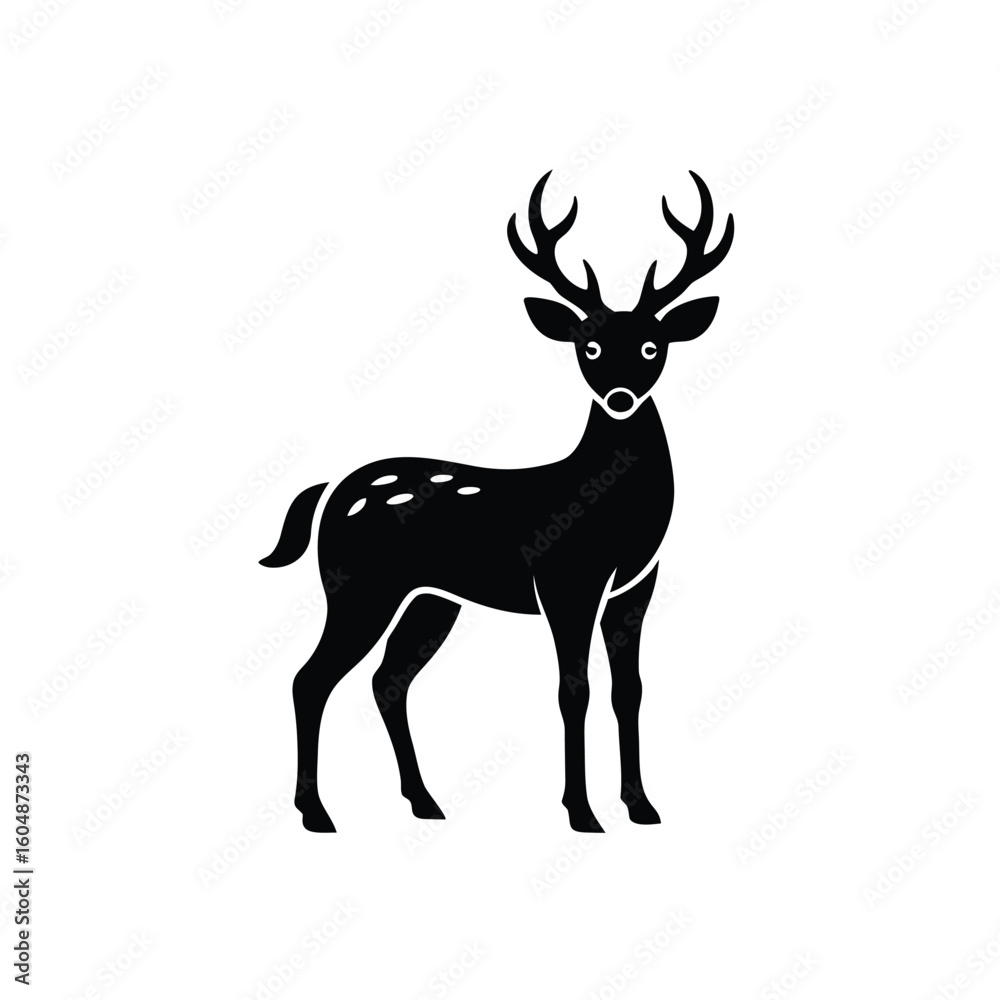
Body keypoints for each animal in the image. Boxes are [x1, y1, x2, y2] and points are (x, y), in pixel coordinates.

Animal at [260, 170, 734, 833]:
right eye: (588, 348)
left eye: (651, 347)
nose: (619, 398)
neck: (613, 515)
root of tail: (329, 491)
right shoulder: (566, 578)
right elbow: (573, 689)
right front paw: (581, 812)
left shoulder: (637, 583)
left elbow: (630, 689)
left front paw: (642, 806)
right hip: (358, 585)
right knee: (310, 679)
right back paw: (317, 813)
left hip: (430, 600)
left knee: (387, 680)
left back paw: (425, 803)